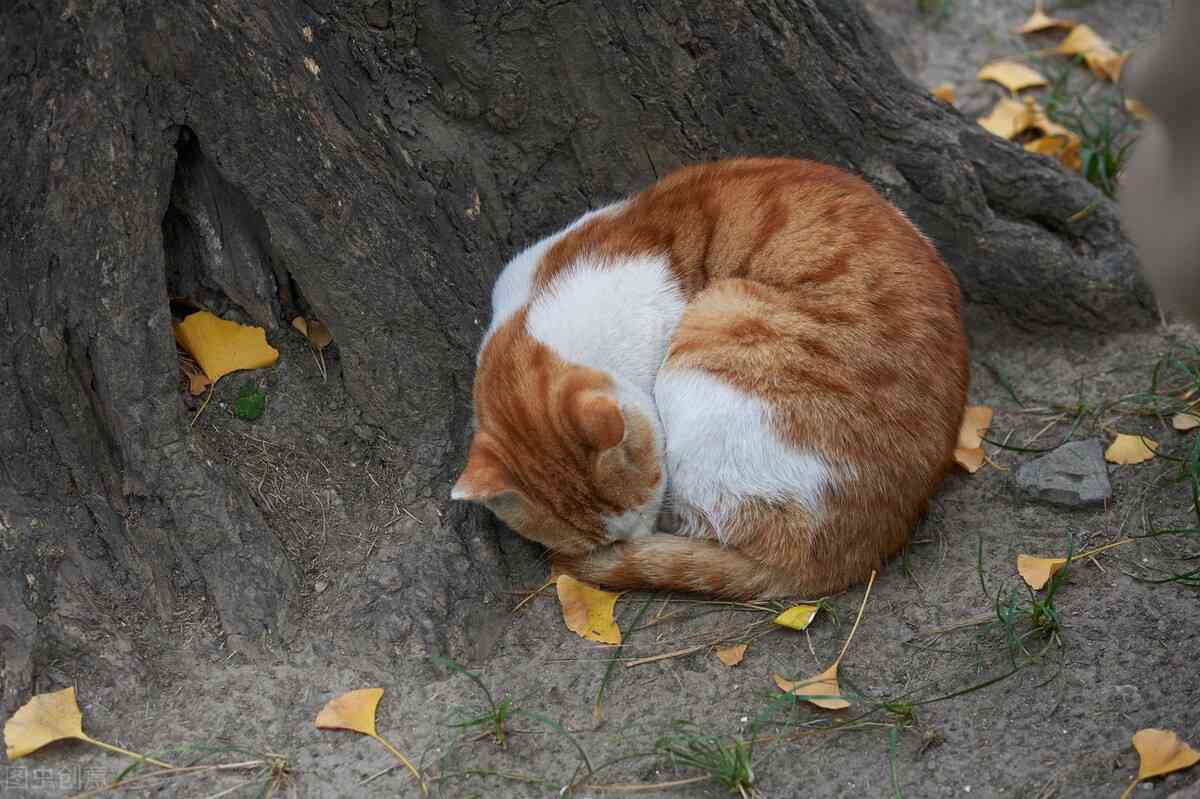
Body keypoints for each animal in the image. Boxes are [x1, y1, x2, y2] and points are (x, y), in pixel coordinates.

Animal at [451, 155, 964, 597]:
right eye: (603, 540)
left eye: (651, 492)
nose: (637, 535)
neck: (542, 319)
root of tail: (845, 562)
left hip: (719, 329)